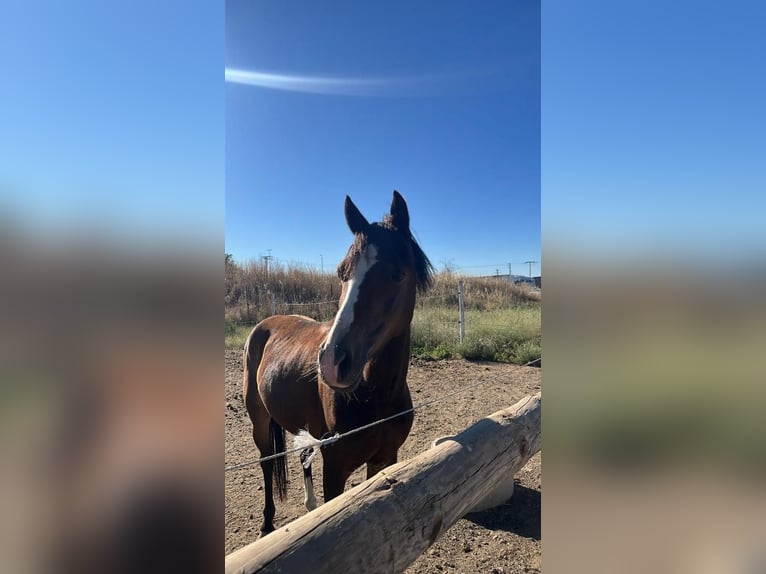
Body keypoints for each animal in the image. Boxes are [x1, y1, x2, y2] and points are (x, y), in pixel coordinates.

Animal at [243, 190, 433, 537]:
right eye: (341, 273)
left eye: (397, 274)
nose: (332, 361)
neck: (377, 397)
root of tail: (265, 324)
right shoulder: (335, 469)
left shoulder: (385, 458)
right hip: (259, 419)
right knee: (266, 460)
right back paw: (267, 522)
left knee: (303, 453)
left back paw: (308, 505)